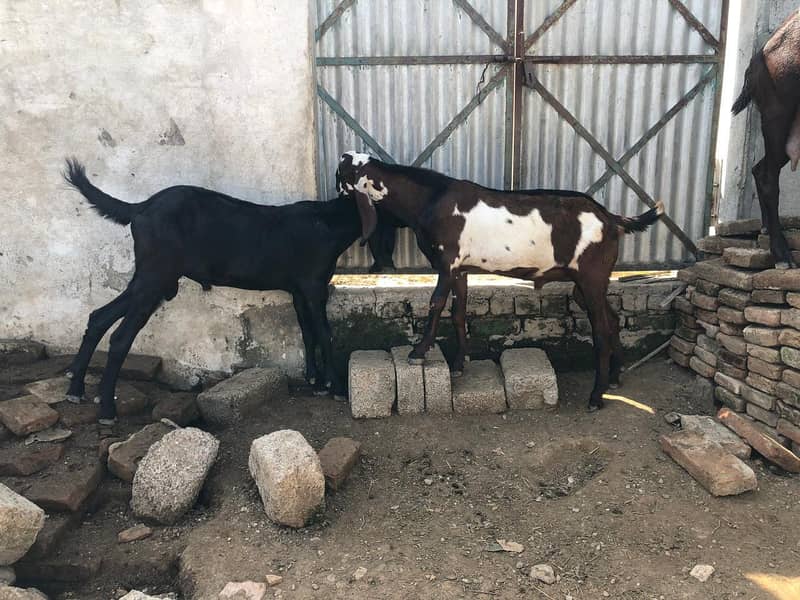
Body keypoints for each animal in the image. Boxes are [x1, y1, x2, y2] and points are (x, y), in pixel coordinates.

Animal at [62, 158, 362, 424]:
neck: (328, 220)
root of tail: (142, 207)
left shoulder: (298, 291)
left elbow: (307, 333)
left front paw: (315, 381)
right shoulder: (314, 288)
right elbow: (324, 334)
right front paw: (336, 387)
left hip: (149, 280)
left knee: (99, 317)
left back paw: (75, 388)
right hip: (155, 278)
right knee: (120, 338)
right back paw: (106, 410)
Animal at [336, 151, 663, 411]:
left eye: (341, 176)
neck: (431, 199)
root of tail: (611, 219)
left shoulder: (447, 263)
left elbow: (435, 304)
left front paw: (419, 352)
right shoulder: (460, 270)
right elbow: (458, 313)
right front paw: (459, 364)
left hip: (592, 279)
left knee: (602, 332)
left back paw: (596, 396)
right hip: (589, 284)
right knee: (614, 319)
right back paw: (615, 378)